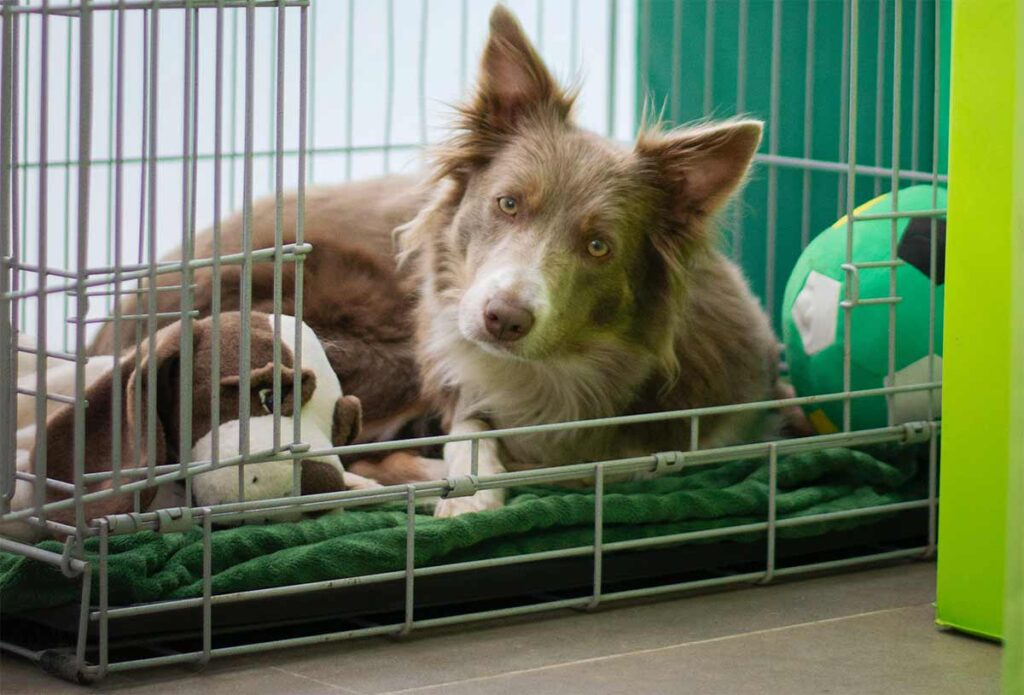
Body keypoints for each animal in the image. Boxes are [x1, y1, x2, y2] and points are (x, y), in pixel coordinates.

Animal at [92, 4, 782, 515]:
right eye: (508, 202)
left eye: (598, 246)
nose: (504, 318)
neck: (557, 375)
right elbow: (471, 434)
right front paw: (471, 487)